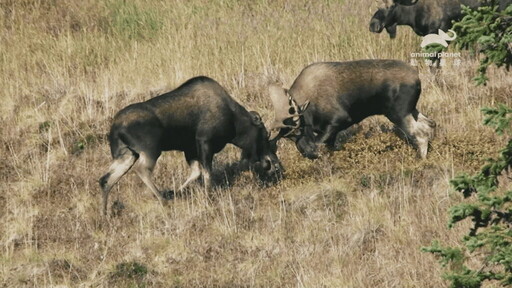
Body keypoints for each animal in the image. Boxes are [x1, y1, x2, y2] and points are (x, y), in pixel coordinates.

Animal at [99, 75, 284, 215]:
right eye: (265, 135)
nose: (274, 165)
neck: (235, 125)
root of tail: (115, 128)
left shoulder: (190, 149)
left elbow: (196, 173)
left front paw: (176, 192)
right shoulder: (204, 141)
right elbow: (207, 173)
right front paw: (208, 197)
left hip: (126, 154)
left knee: (105, 179)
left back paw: (105, 213)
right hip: (150, 149)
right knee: (141, 170)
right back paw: (162, 199)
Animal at [268, 60, 436, 160]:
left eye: (298, 129)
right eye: (288, 137)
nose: (307, 153)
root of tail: (417, 77)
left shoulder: (339, 120)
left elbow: (320, 144)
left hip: (398, 113)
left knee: (421, 133)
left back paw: (420, 159)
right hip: (411, 110)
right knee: (430, 124)